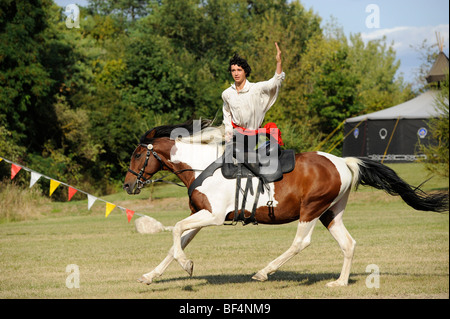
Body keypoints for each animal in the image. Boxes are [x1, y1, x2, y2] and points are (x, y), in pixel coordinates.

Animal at [121, 119, 448, 288]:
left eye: (137, 155)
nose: (127, 185)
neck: (199, 165)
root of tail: (344, 161)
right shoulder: (200, 215)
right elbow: (176, 242)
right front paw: (151, 275)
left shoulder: (212, 216)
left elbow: (176, 231)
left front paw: (188, 266)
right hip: (331, 212)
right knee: (348, 243)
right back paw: (340, 283)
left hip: (312, 209)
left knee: (300, 243)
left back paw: (264, 272)